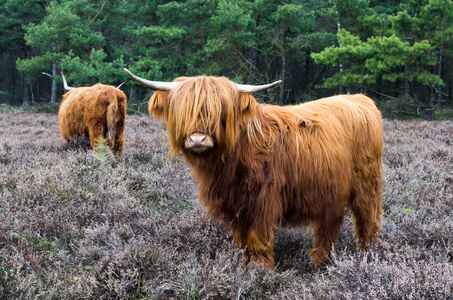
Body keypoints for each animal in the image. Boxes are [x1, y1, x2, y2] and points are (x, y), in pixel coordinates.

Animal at [125, 68, 384, 270]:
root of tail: (361, 99)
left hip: (366, 182)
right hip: (332, 188)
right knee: (331, 221)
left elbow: (258, 238)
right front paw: (243, 266)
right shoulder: (236, 204)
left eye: (220, 111)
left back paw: (367, 256)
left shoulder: (264, 198)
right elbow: (242, 241)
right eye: (183, 110)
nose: (198, 139)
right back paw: (319, 260)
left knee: (368, 218)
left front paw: (261, 271)